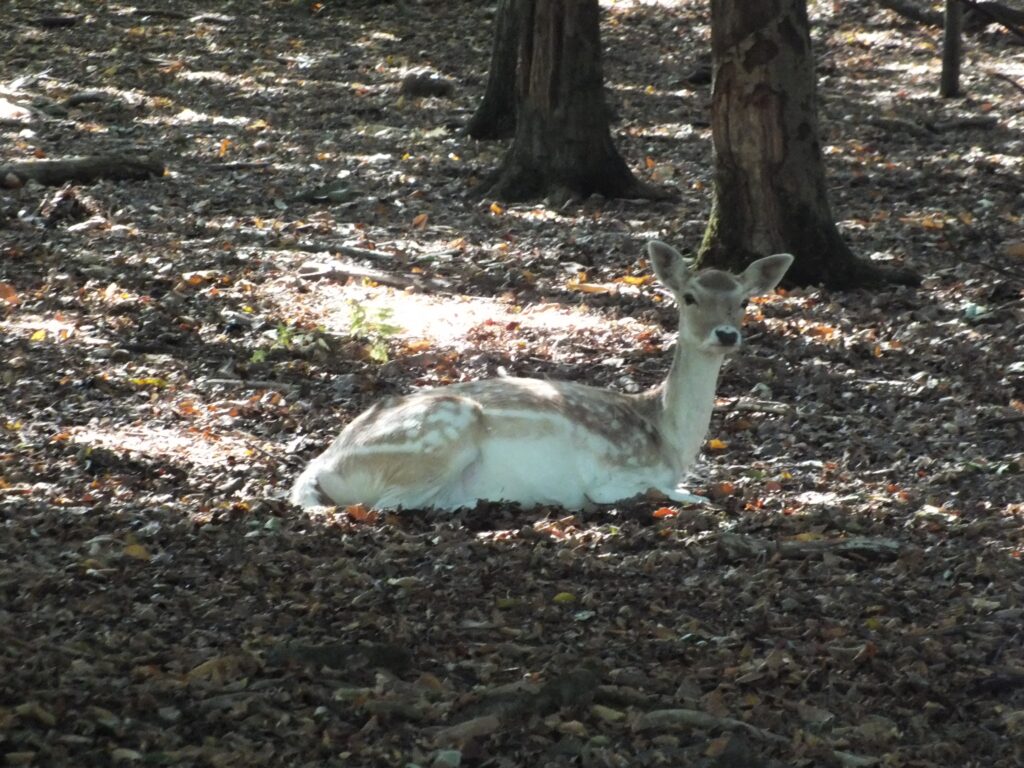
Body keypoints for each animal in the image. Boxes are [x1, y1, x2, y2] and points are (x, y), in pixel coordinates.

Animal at [290, 241, 793, 511]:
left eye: (744, 300)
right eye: (689, 296)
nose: (726, 334)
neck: (667, 438)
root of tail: (323, 465)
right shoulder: (613, 475)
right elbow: (682, 495)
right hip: (437, 437)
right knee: (392, 503)